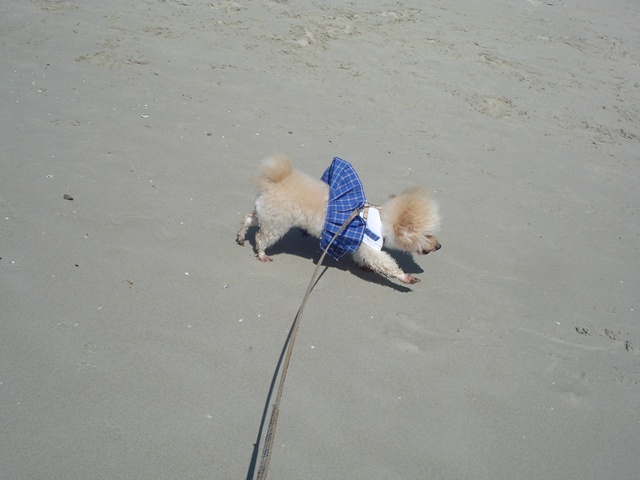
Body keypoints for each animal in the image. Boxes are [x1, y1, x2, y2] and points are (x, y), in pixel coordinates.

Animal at [235, 154, 441, 284]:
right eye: (428, 235)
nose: (439, 246)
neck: (383, 222)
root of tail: (275, 181)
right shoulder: (371, 246)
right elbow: (387, 264)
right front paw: (405, 277)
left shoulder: (359, 245)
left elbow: (361, 257)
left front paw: (362, 266)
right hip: (277, 223)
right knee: (261, 237)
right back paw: (261, 253)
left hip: (267, 214)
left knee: (248, 218)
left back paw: (240, 237)